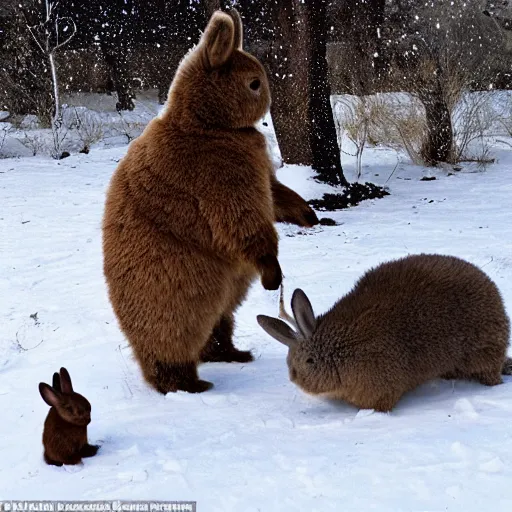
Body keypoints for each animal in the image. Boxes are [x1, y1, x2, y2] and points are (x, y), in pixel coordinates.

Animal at [102, 8, 318, 394]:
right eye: (254, 83)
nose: (269, 107)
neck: (206, 125)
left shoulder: (260, 176)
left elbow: (277, 196)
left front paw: (308, 214)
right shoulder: (220, 179)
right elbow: (245, 222)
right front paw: (272, 274)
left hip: (222, 292)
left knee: (219, 322)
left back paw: (233, 355)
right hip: (178, 293)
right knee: (173, 339)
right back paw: (186, 384)